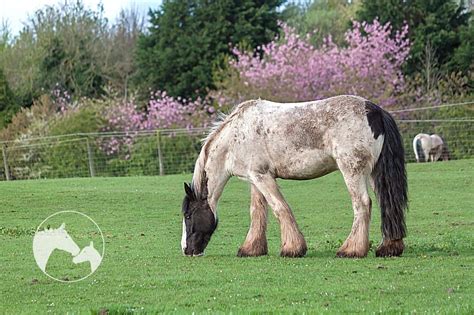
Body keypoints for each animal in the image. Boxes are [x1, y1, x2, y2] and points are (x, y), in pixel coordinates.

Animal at [181, 95, 408, 260]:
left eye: (188, 215)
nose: (186, 250)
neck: (236, 135)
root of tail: (375, 110)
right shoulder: (256, 178)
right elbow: (257, 212)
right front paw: (251, 249)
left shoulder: (262, 176)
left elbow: (280, 208)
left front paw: (292, 249)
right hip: (374, 173)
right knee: (387, 205)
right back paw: (389, 248)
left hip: (352, 171)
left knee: (362, 204)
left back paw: (351, 250)